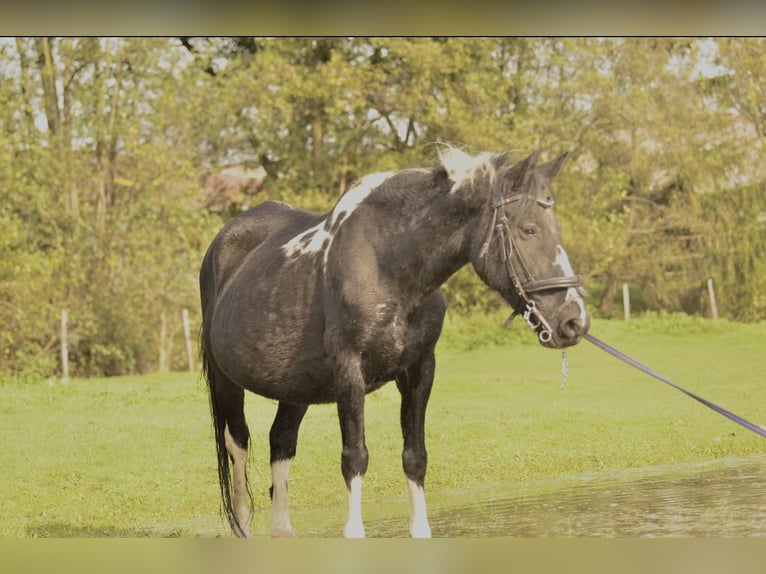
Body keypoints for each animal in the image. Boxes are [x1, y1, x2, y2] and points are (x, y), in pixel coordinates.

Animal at [201, 148, 592, 540]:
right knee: (237, 444)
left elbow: (415, 457)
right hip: (226, 380)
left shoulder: (420, 370)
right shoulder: (349, 371)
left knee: (281, 441)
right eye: (528, 230)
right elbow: (355, 457)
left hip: (296, 387)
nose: (574, 321)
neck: (386, 265)